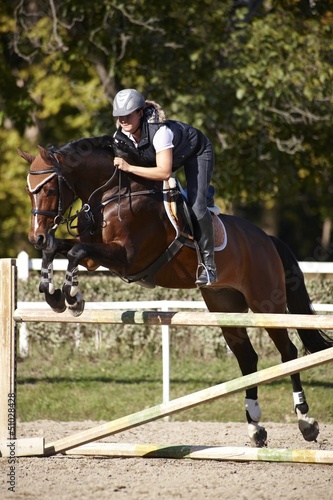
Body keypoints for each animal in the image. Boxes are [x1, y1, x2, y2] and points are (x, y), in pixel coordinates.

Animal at [18, 135, 332, 448]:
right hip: (225, 305)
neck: (110, 195)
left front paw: (72, 298)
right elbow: (59, 250)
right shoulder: (96, 258)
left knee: (288, 352)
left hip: (266, 304)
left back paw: (306, 422)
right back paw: (255, 427)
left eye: (49, 188)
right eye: (29, 192)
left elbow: (75, 252)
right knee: (247, 358)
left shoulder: (126, 257)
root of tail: (266, 239)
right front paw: (53, 294)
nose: (36, 237)